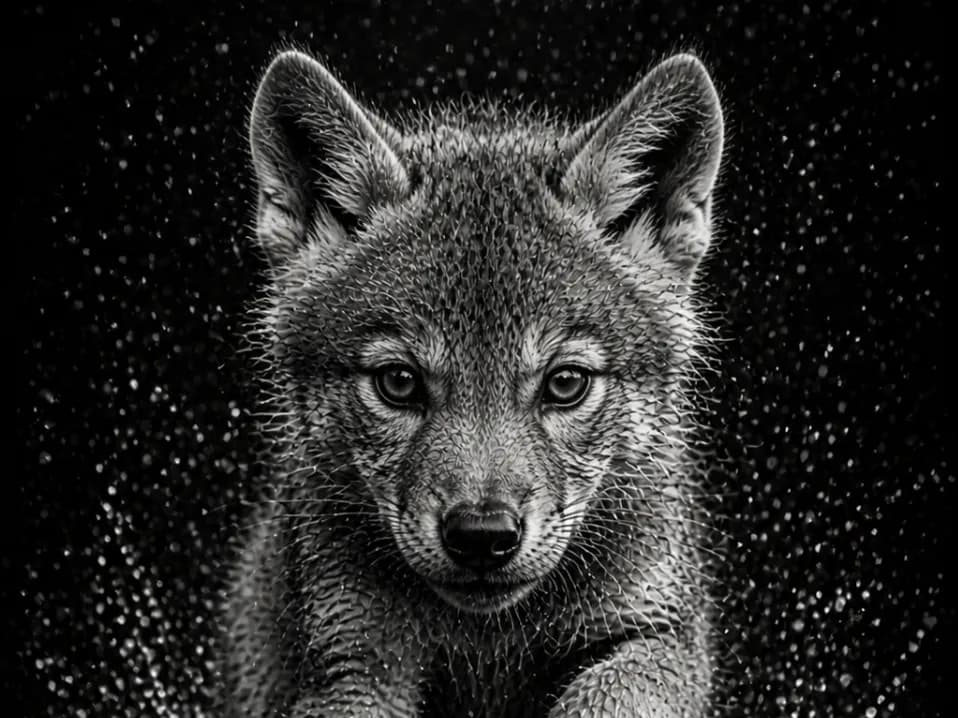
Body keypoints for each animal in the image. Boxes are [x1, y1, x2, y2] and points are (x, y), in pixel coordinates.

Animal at [220, 48, 724, 717]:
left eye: (566, 383)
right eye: (399, 382)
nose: (482, 538)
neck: (488, 641)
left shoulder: (657, 634)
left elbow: (607, 692)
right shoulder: (354, 661)